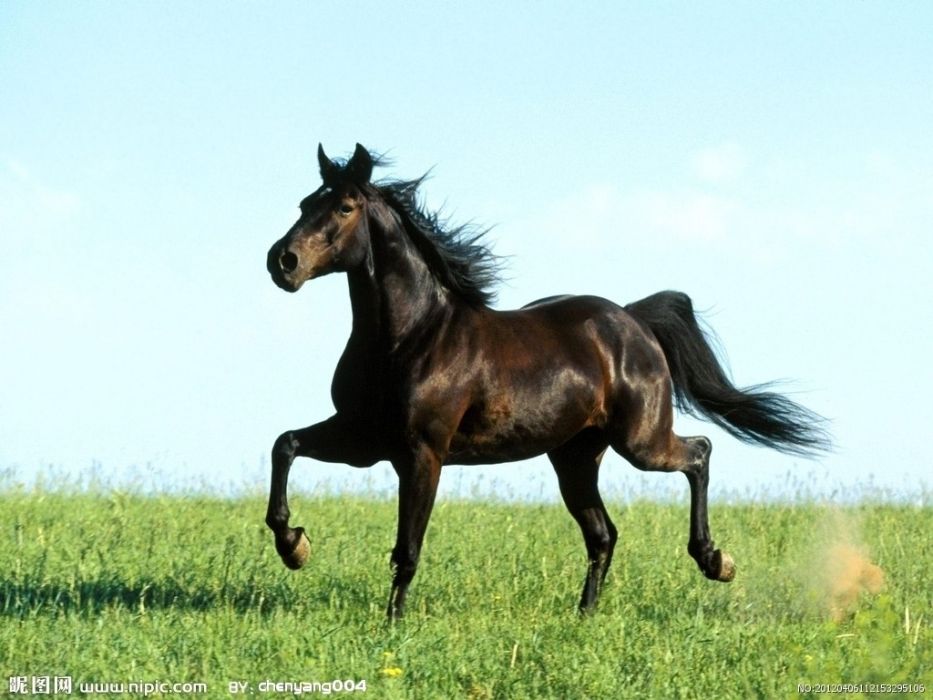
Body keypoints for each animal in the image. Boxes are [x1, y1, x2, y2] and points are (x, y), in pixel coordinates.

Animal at [265, 143, 830, 619]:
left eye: (344, 207)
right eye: (304, 203)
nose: (282, 262)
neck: (410, 338)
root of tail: (633, 320)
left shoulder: (421, 452)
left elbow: (407, 547)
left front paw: (393, 624)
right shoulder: (364, 438)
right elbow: (285, 445)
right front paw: (295, 546)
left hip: (641, 442)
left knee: (699, 453)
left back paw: (715, 561)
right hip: (575, 456)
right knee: (603, 534)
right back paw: (585, 615)